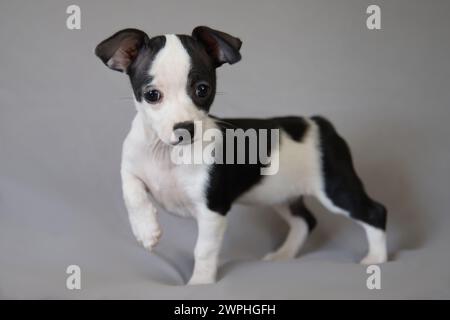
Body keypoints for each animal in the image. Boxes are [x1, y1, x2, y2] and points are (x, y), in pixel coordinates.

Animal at [94, 26, 386, 284]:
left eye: (202, 89)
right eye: (152, 95)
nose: (185, 128)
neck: (168, 154)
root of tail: (317, 123)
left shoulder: (212, 212)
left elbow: (204, 251)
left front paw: (200, 284)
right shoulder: (130, 168)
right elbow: (132, 193)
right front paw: (146, 230)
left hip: (335, 188)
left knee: (374, 212)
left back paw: (376, 259)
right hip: (281, 195)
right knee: (305, 221)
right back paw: (284, 255)